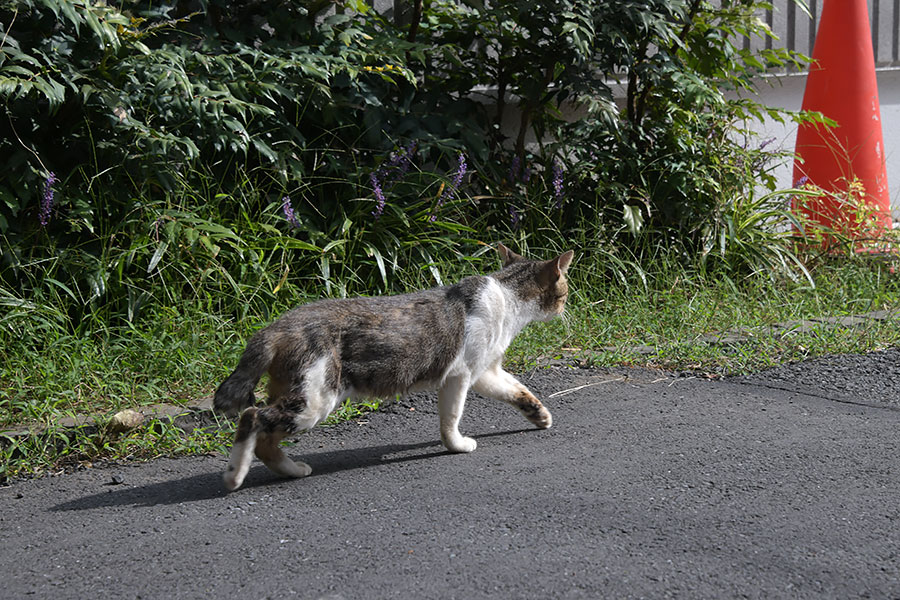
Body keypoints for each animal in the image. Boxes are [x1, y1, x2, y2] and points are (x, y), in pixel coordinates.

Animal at [214, 241, 572, 490]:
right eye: (564, 291)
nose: (564, 307)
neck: (508, 300)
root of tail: (277, 326)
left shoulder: (485, 371)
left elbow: (517, 390)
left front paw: (540, 415)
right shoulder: (460, 375)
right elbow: (451, 419)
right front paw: (457, 445)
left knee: (266, 440)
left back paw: (291, 470)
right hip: (314, 400)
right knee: (252, 417)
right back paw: (234, 476)